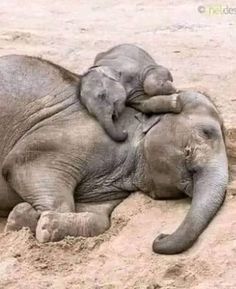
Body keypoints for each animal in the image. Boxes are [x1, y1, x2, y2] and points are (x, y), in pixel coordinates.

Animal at [0, 55, 229, 253]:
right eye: (206, 132)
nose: (160, 236)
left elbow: (100, 218)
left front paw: (24, 217)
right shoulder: (59, 139)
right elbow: (20, 166)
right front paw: (39, 223)